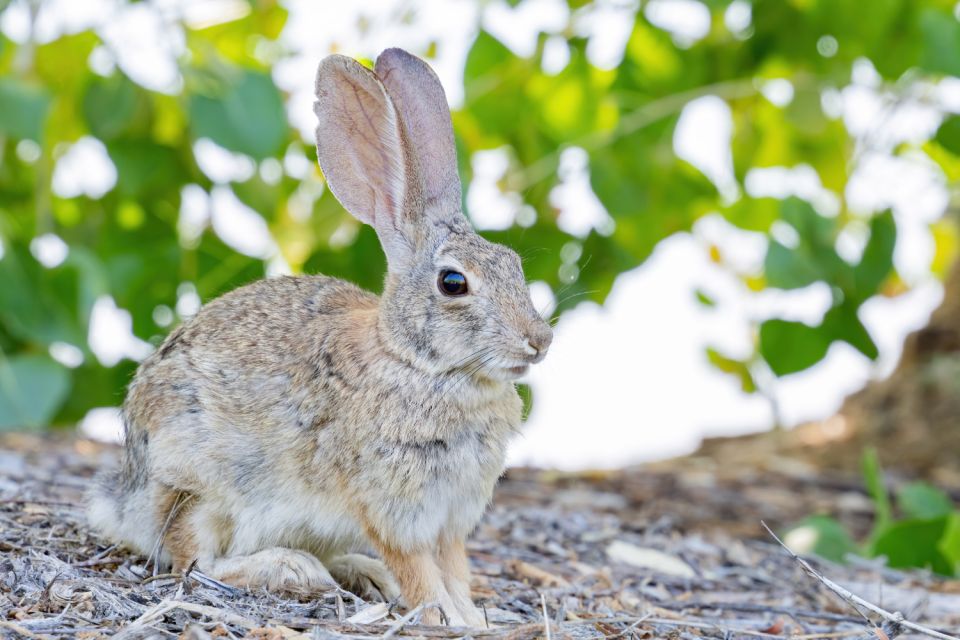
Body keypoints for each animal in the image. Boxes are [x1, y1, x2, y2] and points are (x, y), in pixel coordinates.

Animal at [90, 48, 556, 624]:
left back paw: (362, 574)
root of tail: (124, 501)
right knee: (192, 564)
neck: (418, 364)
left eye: (514, 264)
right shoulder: (394, 509)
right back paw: (292, 570)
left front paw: (470, 617)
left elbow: (455, 570)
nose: (539, 340)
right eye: (454, 283)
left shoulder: (451, 517)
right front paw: (443, 618)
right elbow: (421, 572)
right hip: (198, 487)